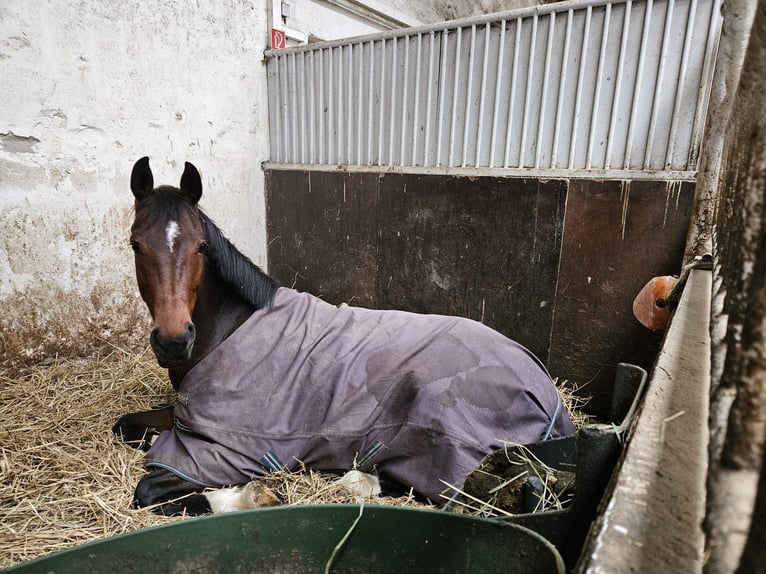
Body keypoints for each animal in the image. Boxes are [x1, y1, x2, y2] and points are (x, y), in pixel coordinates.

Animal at [114, 157, 575, 515]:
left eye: (200, 246)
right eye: (136, 245)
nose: (174, 341)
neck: (232, 328)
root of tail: (544, 388)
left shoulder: (227, 451)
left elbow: (149, 489)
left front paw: (254, 496)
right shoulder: (185, 419)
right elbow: (126, 426)